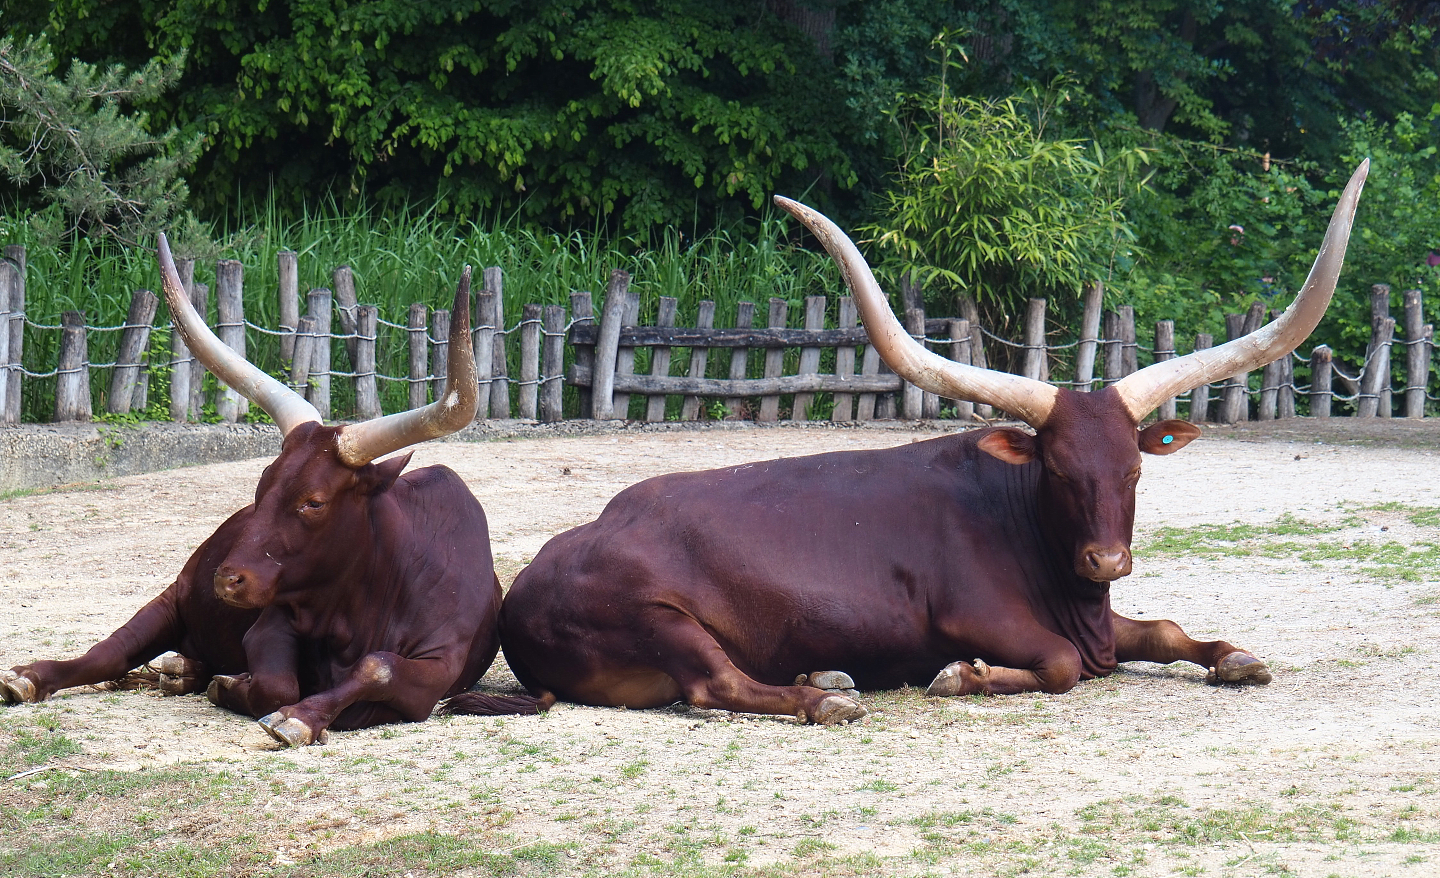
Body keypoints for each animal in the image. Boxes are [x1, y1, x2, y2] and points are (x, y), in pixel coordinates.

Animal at [1, 236, 539, 745]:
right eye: (261, 487)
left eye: (313, 502)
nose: (227, 579)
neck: (373, 590)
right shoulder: (272, 620)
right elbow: (276, 684)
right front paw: (237, 688)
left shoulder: (437, 668)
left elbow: (376, 668)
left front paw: (297, 716)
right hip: (174, 597)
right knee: (112, 652)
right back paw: (35, 677)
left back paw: (180, 671)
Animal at [492, 162, 1369, 725]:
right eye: (1057, 470)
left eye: (1132, 472)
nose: (1106, 560)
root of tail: (526, 581)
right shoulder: (987, 616)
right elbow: (1063, 664)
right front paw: (959, 676)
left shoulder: (1099, 612)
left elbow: (1162, 631)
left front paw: (1235, 657)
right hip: (659, 617)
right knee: (715, 686)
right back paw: (827, 696)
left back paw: (825, 670)